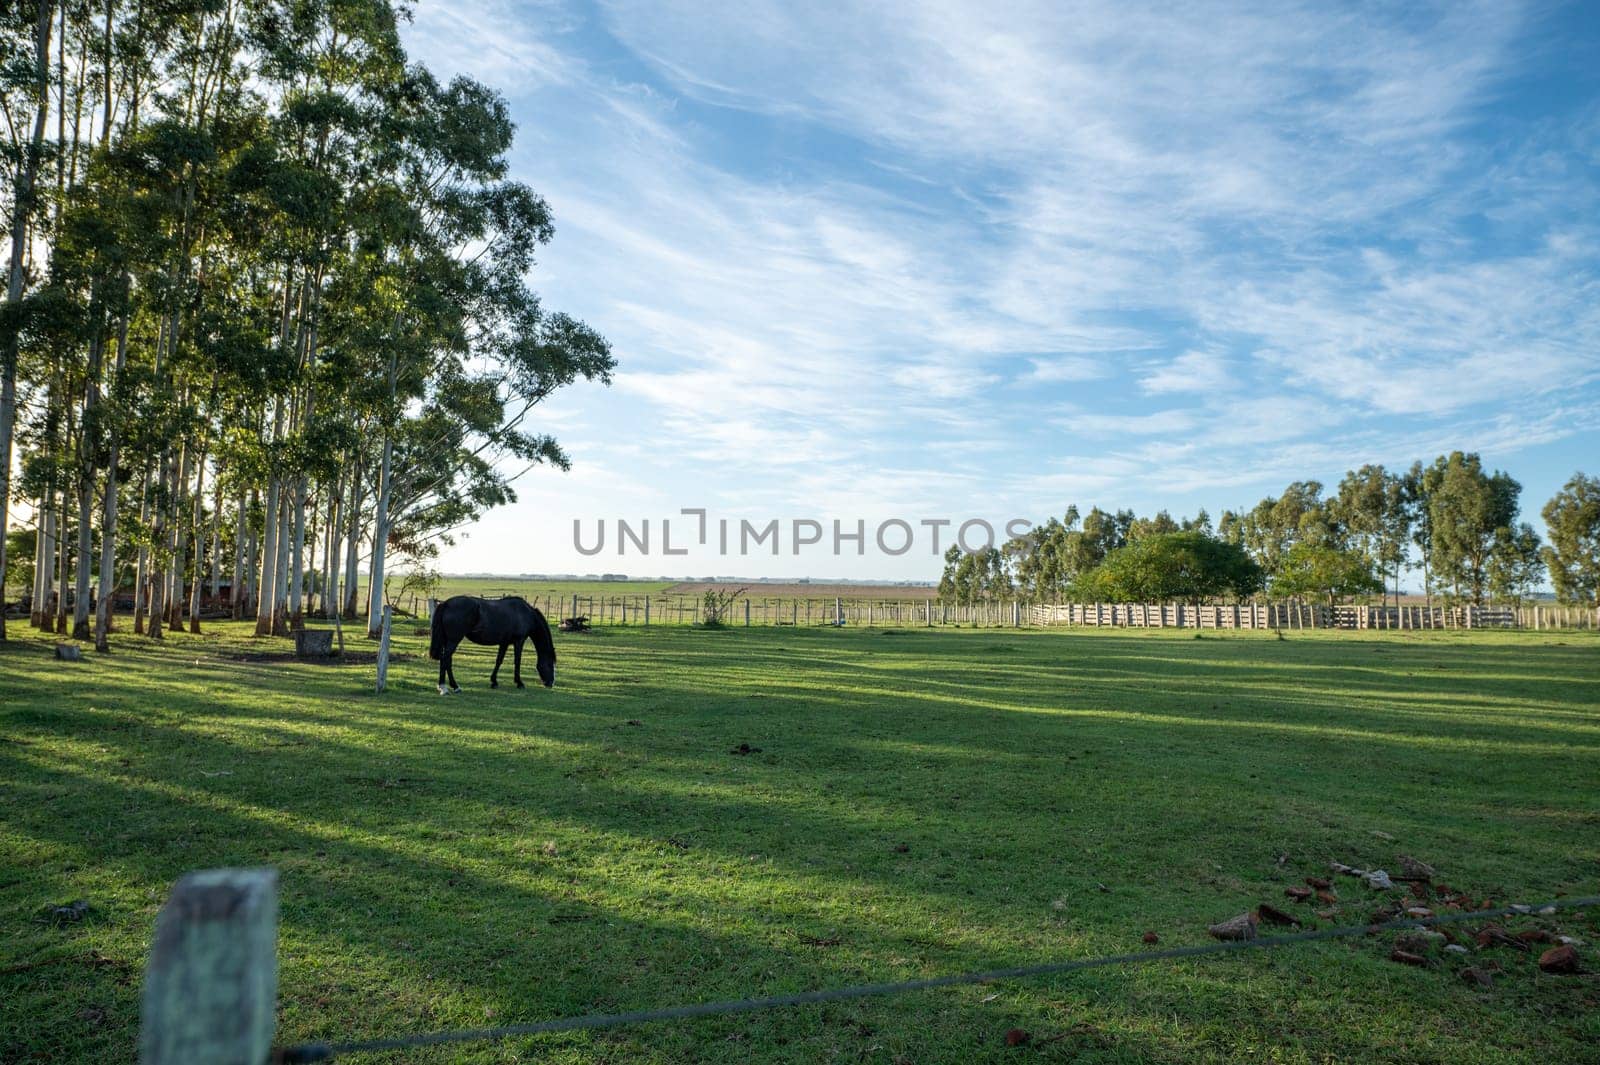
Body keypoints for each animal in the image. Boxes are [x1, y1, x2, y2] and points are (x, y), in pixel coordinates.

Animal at [428, 591, 560, 694]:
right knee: (445, 659)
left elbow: (499, 661)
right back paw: (444, 687)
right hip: (453, 640)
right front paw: (519, 683)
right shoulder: (519, 641)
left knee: (447, 661)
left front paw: (494, 681)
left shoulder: (504, 643)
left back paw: (454, 687)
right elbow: (517, 661)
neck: (525, 614)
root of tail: (446, 603)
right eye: (550, 665)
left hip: (448, 641)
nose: (550, 683)